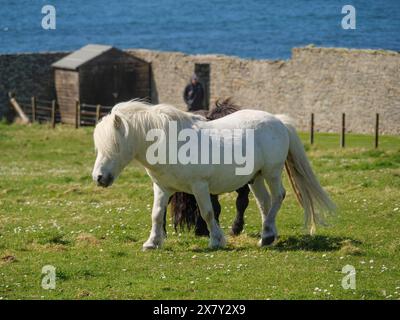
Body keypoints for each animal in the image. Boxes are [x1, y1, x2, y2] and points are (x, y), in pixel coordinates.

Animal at [91, 101, 334, 251]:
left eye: (115, 145)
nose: (99, 178)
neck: (172, 143)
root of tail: (278, 120)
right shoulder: (162, 188)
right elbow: (157, 214)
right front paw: (152, 242)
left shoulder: (199, 187)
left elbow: (208, 213)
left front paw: (216, 240)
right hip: (255, 178)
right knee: (264, 202)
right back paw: (267, 235)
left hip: (271, 173)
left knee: (278, 197)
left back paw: (266, 235)